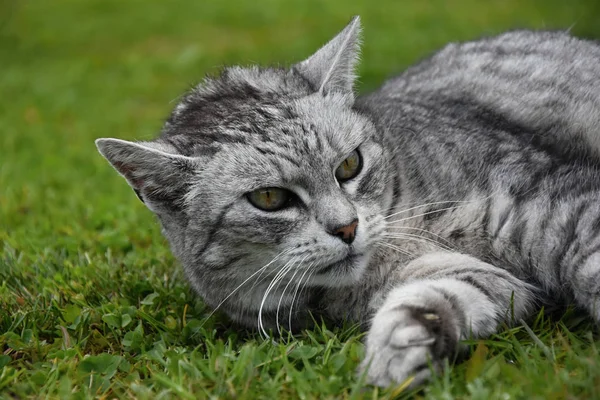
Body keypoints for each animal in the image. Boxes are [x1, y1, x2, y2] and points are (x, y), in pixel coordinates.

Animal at [95, 18, 600, 388]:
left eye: (349, 165)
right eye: (269, 198)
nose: (347, 228)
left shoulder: (546, 205)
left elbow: (590, 261)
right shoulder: (477, 279)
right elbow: (428, 300)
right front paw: (400, 352)